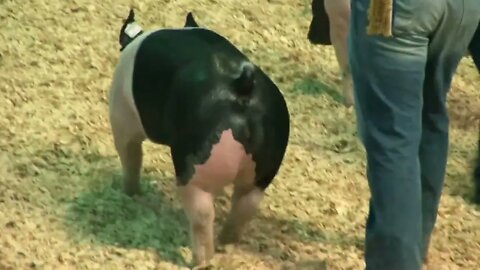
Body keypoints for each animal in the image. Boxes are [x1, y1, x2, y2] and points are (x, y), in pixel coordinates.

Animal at [107, 8, 290, 268]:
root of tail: (242, 88)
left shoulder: (122, 117)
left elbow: (130, 155)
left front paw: (129, 193)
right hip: (263, 168)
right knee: (246, 203)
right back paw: (225, 244)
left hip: (195, 171)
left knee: (202, 213)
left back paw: (199, 261)